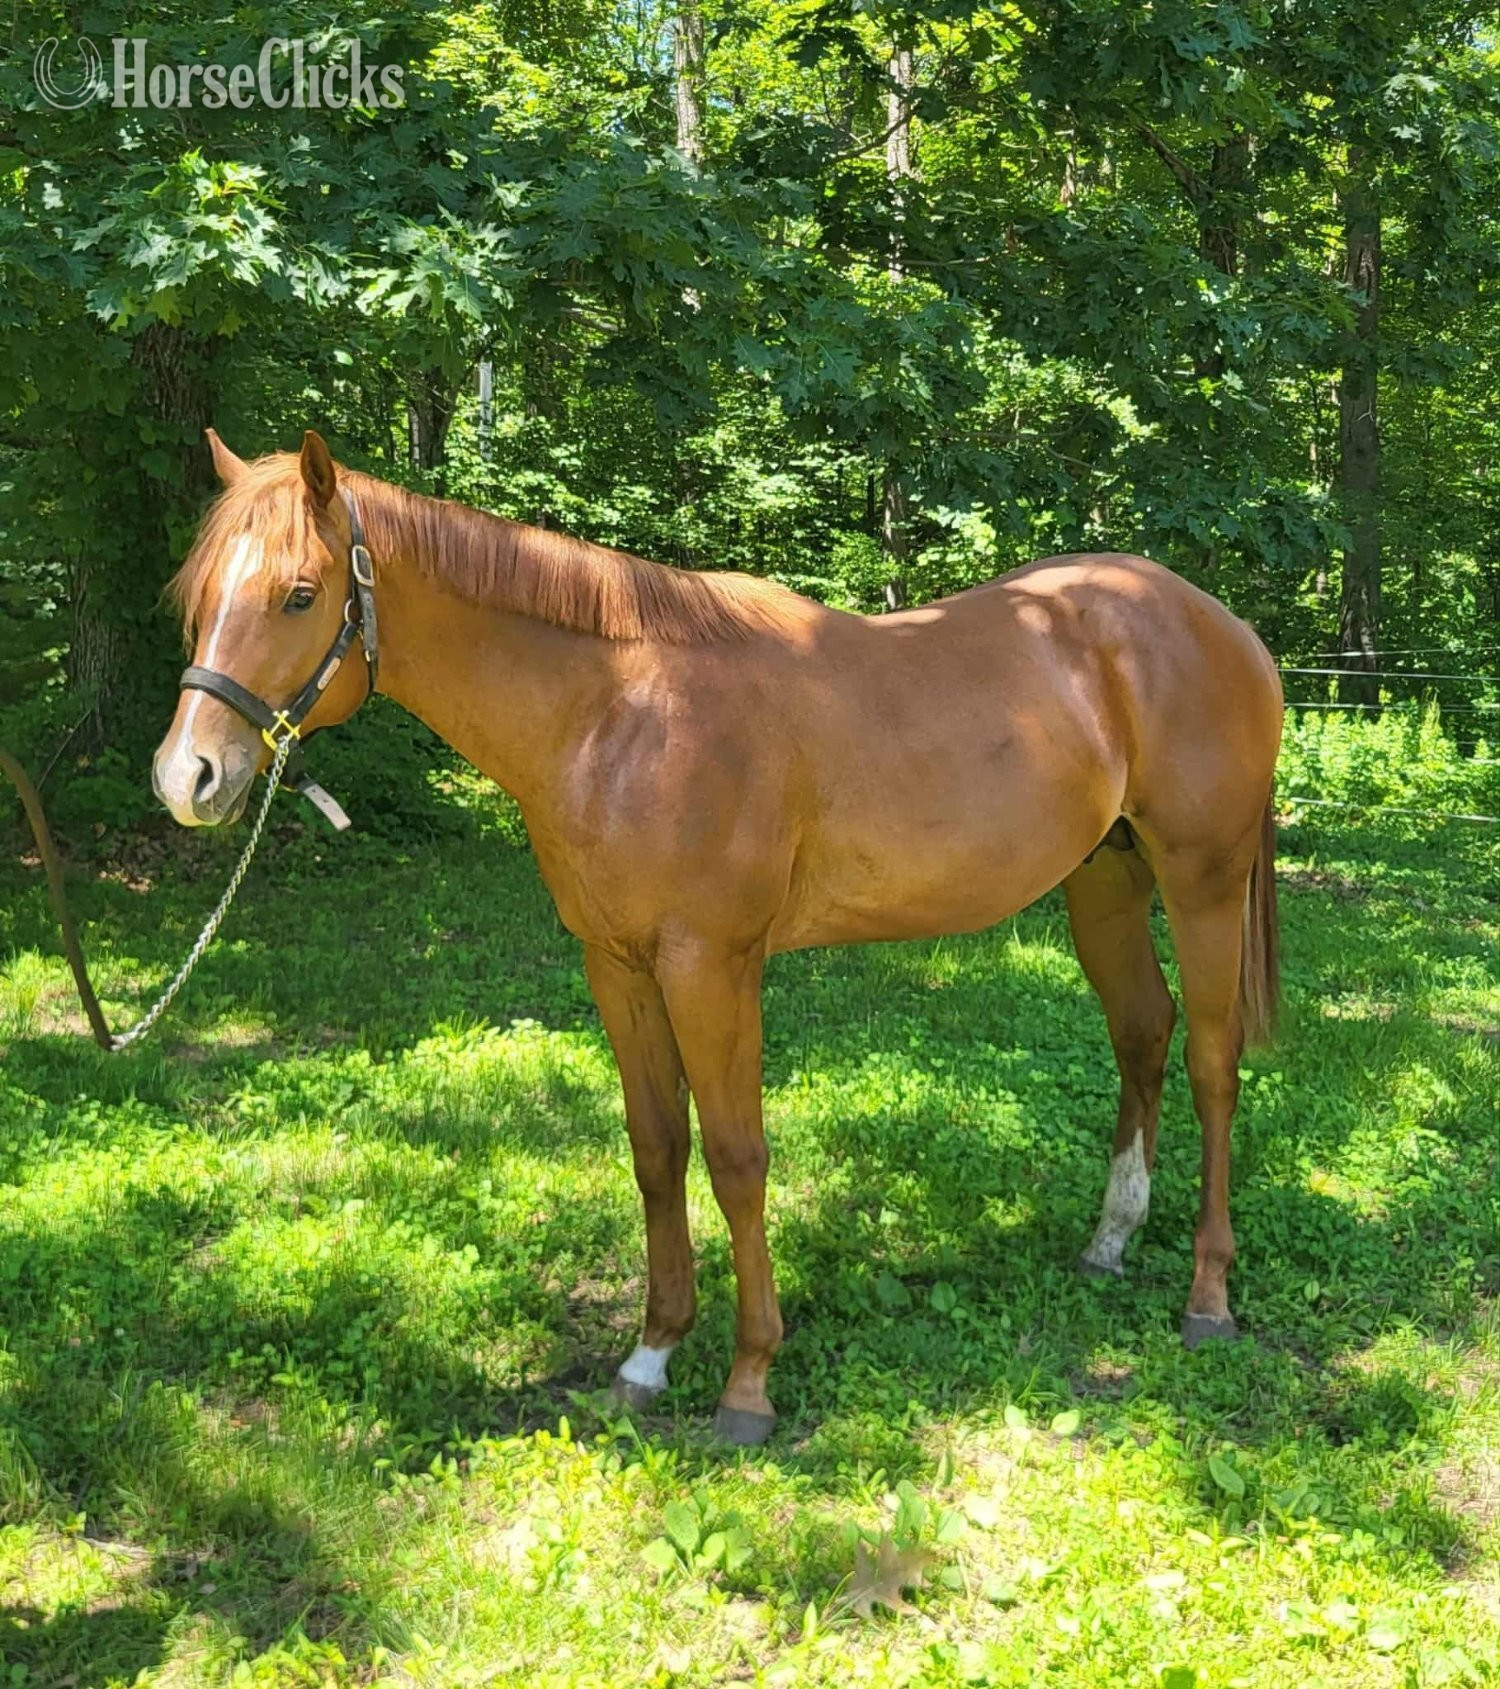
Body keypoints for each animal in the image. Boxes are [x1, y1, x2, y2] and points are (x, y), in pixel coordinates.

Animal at [153, 428, 1282, 1445]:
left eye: (300, 595)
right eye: (198, 600)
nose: (187, 777)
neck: (622, 714)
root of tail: (1217, 622)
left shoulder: (711, 966)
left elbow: (738, 1159)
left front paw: (748, 1384)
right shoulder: (618, 966)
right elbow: (657, 1149)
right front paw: (651, 1355)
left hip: (1202, 879)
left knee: (1213, 1061)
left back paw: (1208, 1296)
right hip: (1106, 881)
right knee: (1143, 1032)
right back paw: (1111, 1239)